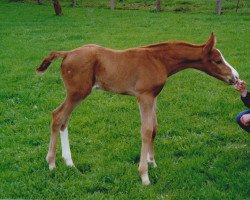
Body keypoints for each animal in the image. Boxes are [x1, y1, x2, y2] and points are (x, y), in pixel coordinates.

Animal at [36, 32, 238, 184]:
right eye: (218, 61)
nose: (235, 77)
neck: (158, 60)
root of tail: (67, 53)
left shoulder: (153, 97)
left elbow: (154, 128)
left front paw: (152, 163)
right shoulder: (144, 96)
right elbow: (146, 131)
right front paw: (144, 175)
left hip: (77, 94)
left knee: (64, 121)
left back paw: (69, 162)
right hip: (77, 93)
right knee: (57, 116)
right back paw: (52, 164)